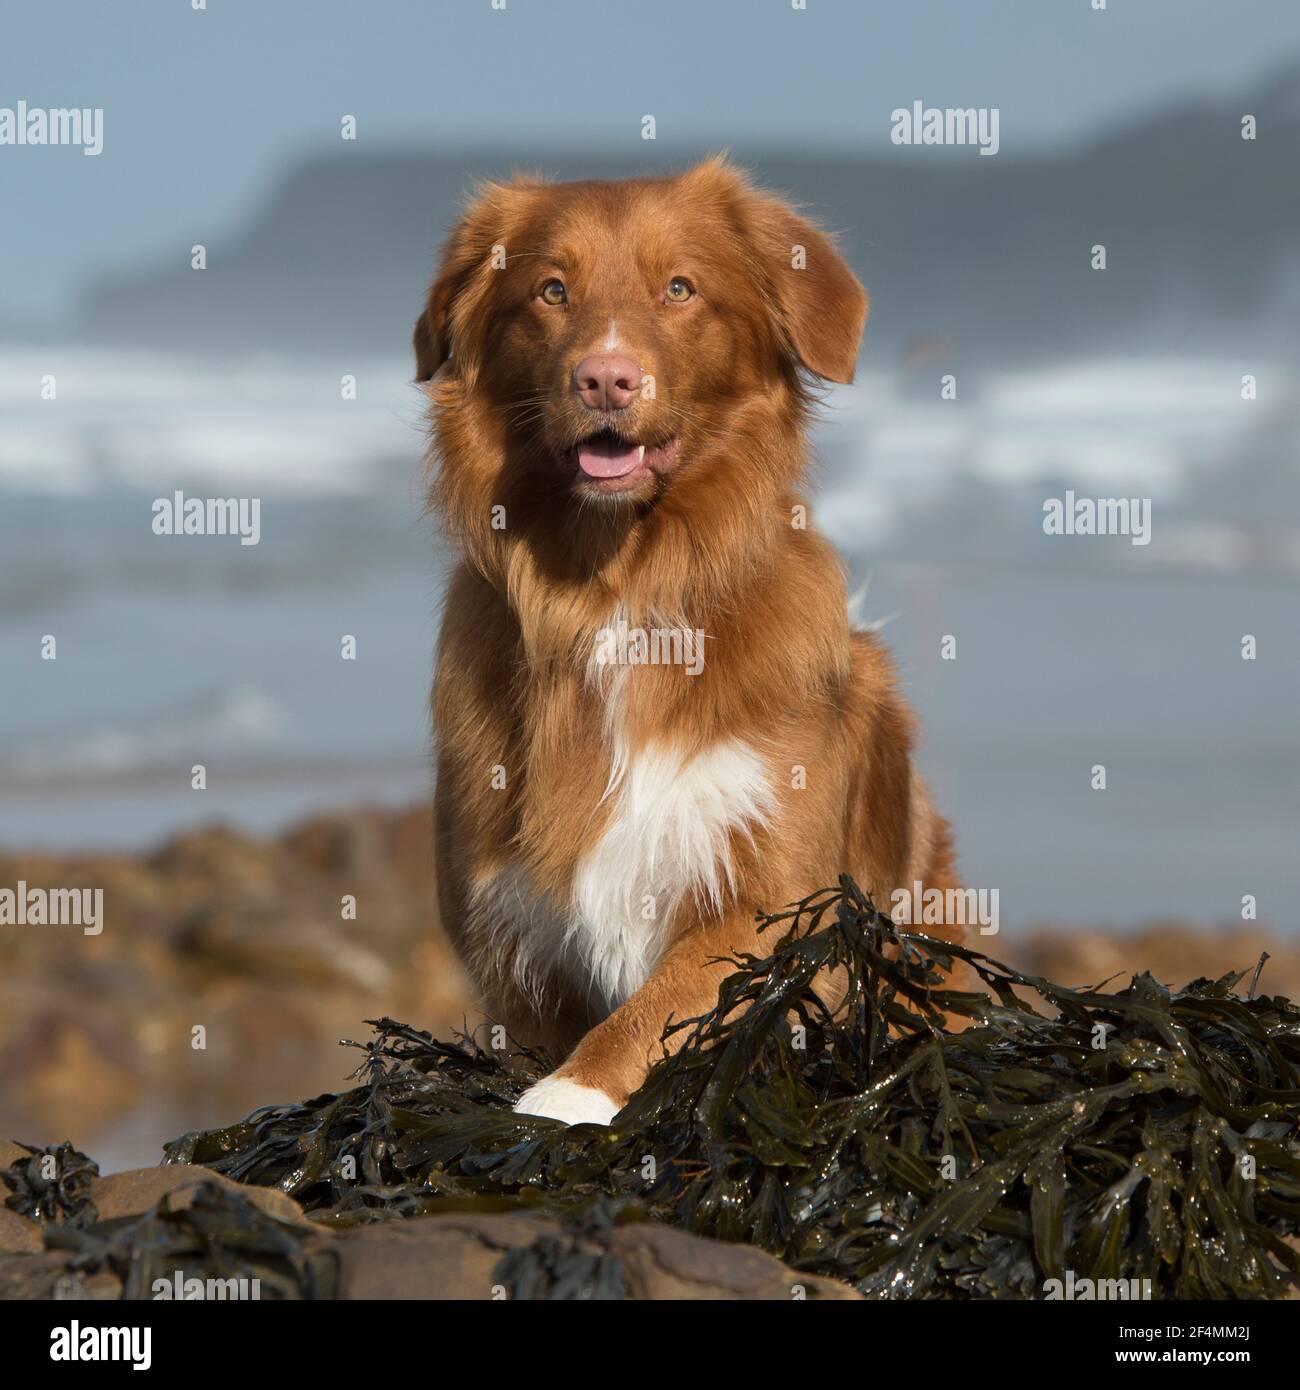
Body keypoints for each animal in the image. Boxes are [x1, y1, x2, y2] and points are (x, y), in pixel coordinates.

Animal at [411, 157, 962, 1123]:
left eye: (679, 288)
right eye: (551, 290)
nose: (606, 379)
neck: (618, 589)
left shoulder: (778, 900)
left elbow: (667, 998)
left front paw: (571, 1095)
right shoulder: (508, 932)